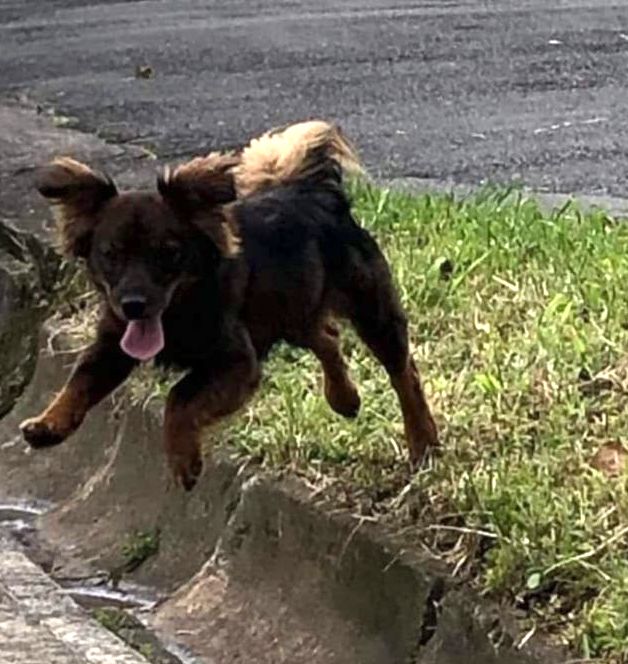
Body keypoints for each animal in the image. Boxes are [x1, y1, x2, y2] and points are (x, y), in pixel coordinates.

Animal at [22, 122, 440, 490]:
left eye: (168, 254)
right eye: (111, 255)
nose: (134, 306)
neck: (179, 311)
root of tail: (316, 193)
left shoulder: (236, 363)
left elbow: (179, 398)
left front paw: (184, 461)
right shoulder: (113, 343)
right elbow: (80, 379)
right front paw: (48, 424)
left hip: (369, 308)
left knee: (403, 371)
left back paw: (423, 441)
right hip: (292, 308)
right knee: (327, 335)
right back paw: (345, 398)